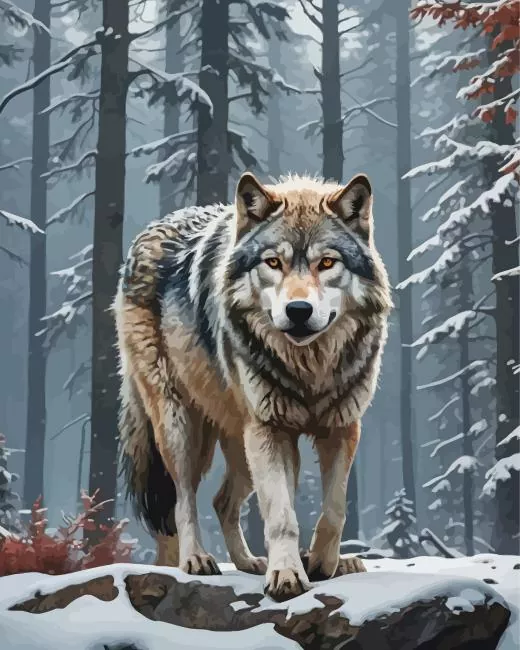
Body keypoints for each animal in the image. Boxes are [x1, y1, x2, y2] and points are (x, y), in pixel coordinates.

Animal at [114, 171, 392, 601]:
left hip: (241, 445)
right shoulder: (270, 432)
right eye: (273, 262)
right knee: (183, 500)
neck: (308, 369)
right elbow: (281, 515)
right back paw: (194, 560)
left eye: (327, 262)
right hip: (182, 429)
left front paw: (321, 563)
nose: (298, 311)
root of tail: (147, 233)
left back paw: (248, 562)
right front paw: (287, 575)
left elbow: (334, 510)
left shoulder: (342, 428)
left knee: (221, 501)